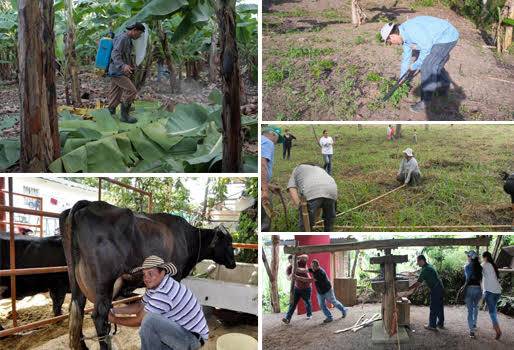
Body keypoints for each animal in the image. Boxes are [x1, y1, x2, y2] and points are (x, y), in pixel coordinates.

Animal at [60, 201, 236, 348]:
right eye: (228, 243)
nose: (234, 264)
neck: (188, 238)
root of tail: (89, 204)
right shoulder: (176, 275)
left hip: (75, 280)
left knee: (76, 309)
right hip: (104, 284)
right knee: (99, 318)